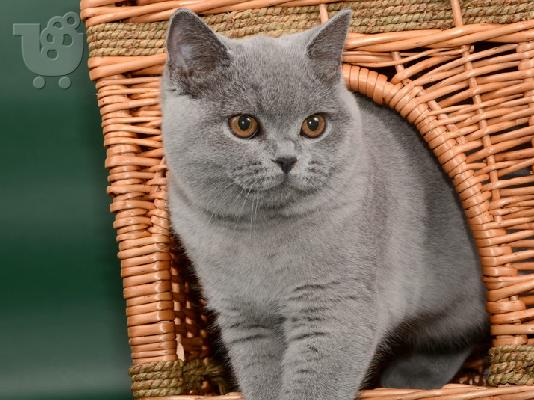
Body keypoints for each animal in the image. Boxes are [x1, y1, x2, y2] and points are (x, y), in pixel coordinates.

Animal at [162, 9, 490, 400]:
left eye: (314, 124)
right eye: (243, 124)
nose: (287, 159)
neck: (258, 237)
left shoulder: (337, 310)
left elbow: (317, 384)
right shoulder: (245, 318)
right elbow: (262, 381)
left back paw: (409, 379)